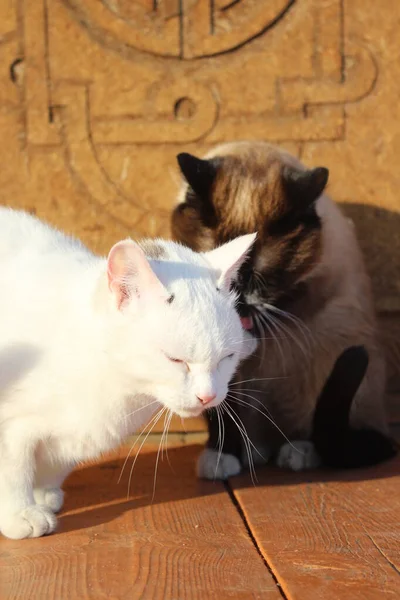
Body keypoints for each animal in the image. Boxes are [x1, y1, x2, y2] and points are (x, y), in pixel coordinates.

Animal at [0, 207, 256, 540]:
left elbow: (54, 462)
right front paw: (20, 512)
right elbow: (14, 468)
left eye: (227, 357)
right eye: (175, 360)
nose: (208, 396)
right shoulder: (10, 425)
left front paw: (44, 493)